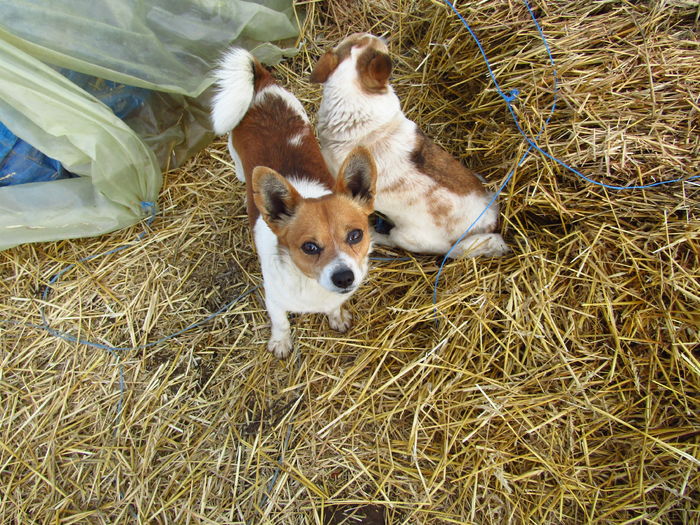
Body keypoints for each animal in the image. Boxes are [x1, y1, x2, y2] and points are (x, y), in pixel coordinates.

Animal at [211, 47, 378, 358]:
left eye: (355, 235)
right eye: (309, 247)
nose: (344, 278)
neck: (310, 284)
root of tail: (262, 86)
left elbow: (335, 306)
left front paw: (336, 316)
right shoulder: (273, 300)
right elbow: (281, 322)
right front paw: (280, 342)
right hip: (233, 149)